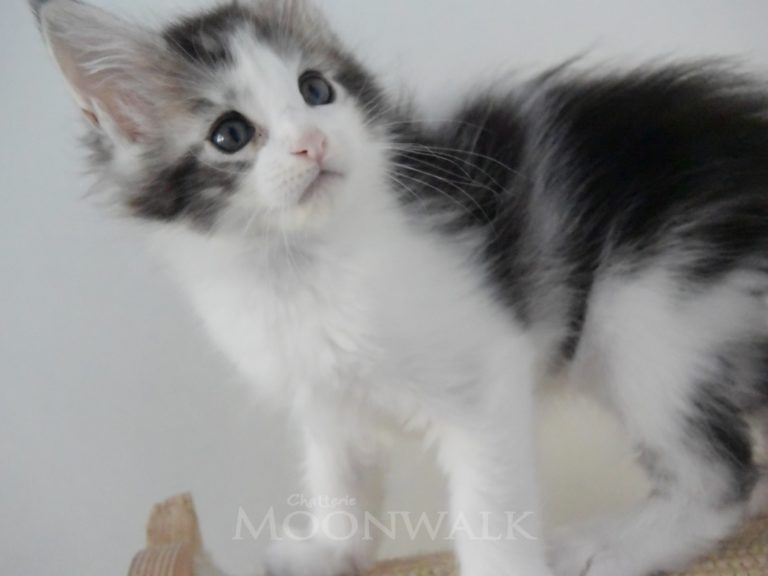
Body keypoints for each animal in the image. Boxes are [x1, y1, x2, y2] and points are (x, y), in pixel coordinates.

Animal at [31, 1, 768, 575]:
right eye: (230, 133)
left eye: (315, 89)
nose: (311, 142)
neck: (303, 266)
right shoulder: (323, 397)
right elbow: (339, 475)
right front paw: (334, 551)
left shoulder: (486, 374)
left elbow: (490, 509)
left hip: (649, 314)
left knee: (721, 477)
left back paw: (604, 548)